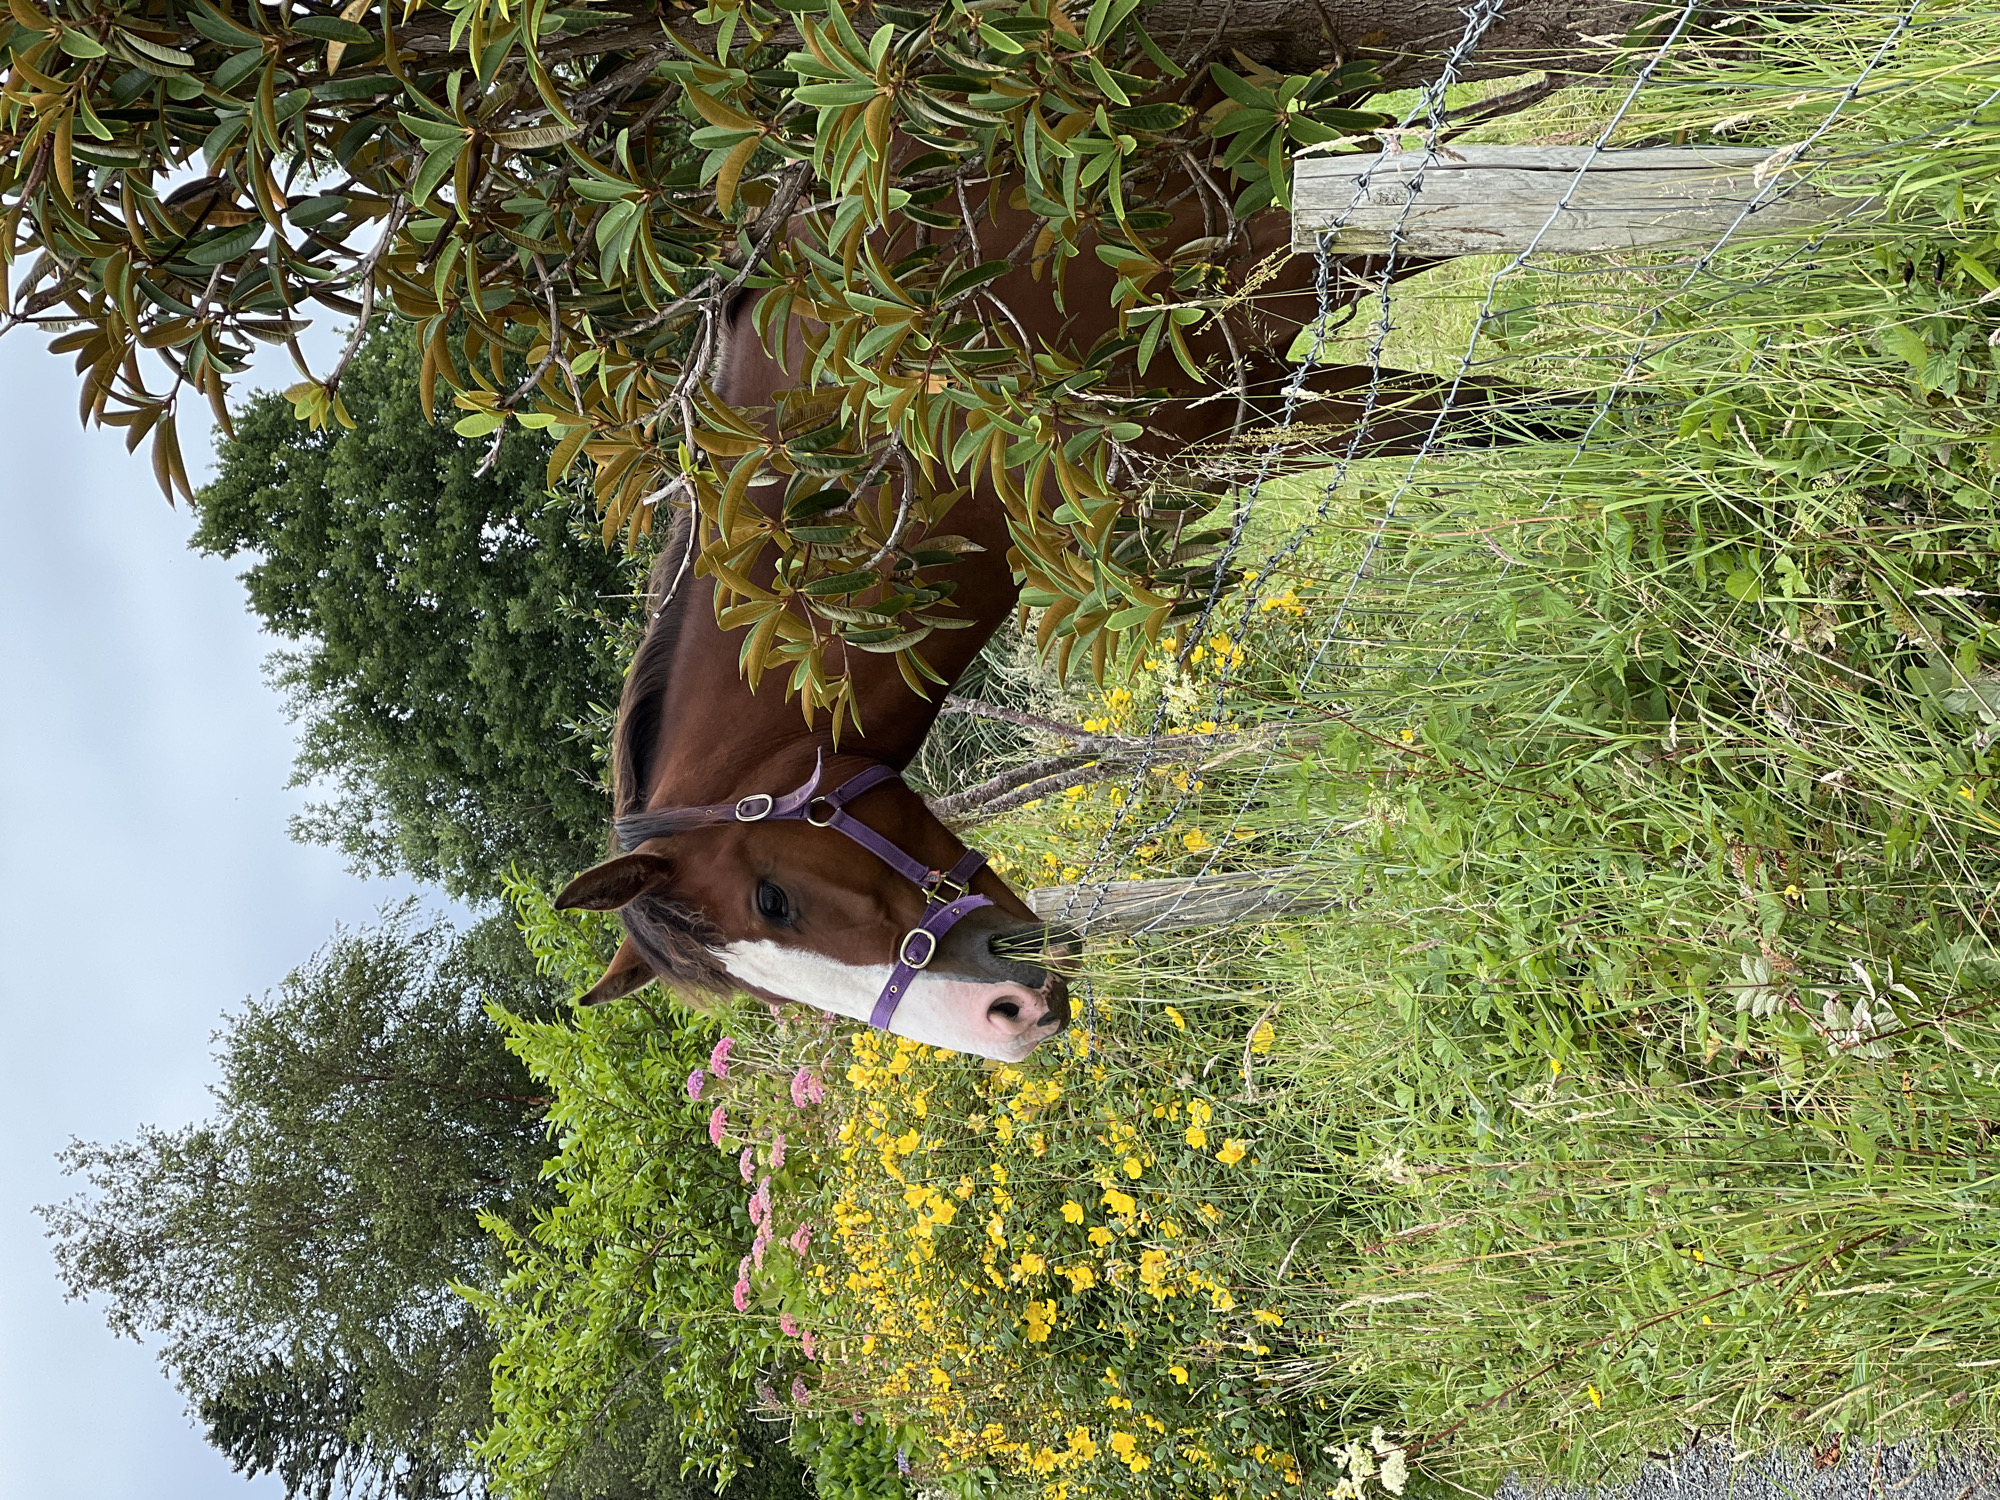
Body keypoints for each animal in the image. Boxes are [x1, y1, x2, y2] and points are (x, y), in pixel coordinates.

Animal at [552, 147, 1553, 1060]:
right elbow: (1504, 419)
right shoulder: (1250, 408)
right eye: (767, 1000)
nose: (1009, 1022)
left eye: (774, 898)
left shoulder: (1243, 364)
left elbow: (1524, 415)